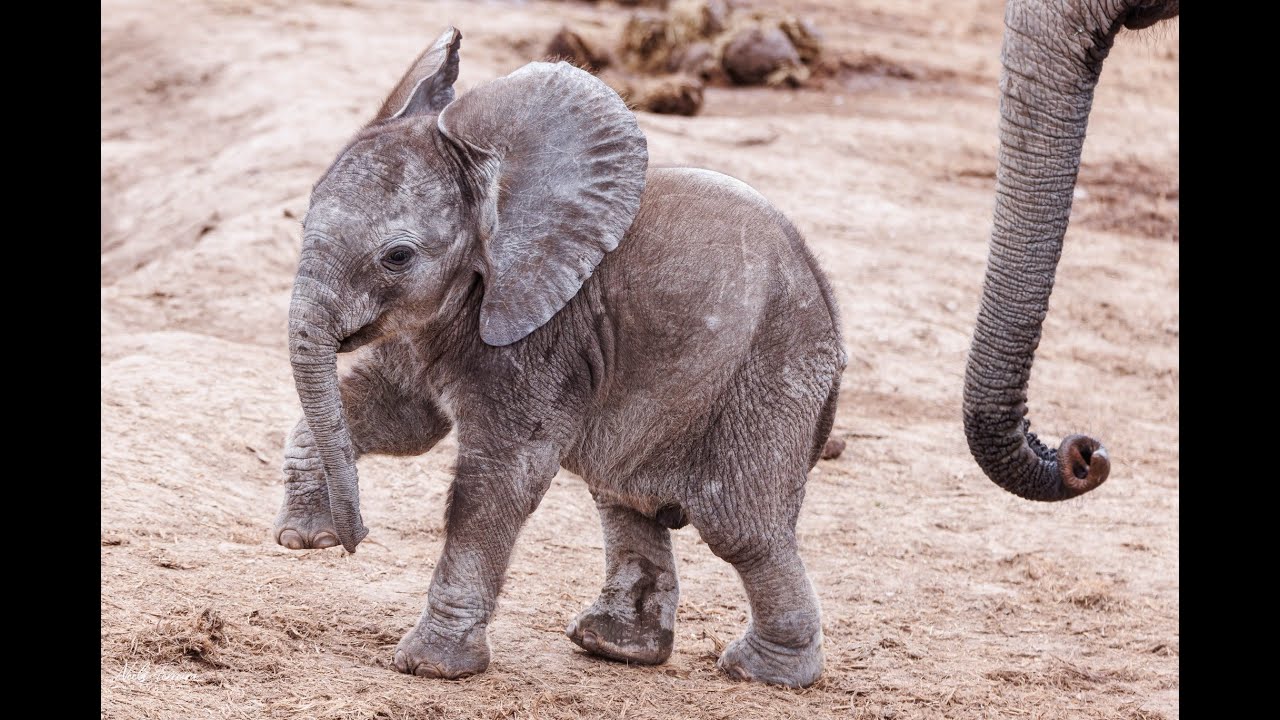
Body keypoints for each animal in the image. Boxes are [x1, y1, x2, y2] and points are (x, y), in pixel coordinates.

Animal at [275, 28, 844, 686]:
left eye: (398, 257)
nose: (354, 540)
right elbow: (401, 421)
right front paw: (301, 537)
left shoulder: (549, 334)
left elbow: (500, 480)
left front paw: (430, 668)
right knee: (623, 499)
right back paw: (613, 647)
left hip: (772, 374)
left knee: (743, 528)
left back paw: (761, 672)